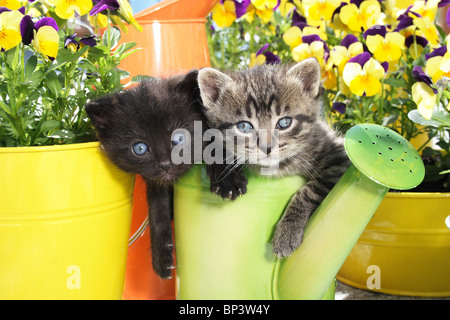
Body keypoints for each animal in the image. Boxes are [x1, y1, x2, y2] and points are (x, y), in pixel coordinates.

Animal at [86, 69, 202, 278]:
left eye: (179, 138)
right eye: (140, 148)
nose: (165, 164)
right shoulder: (156, 182)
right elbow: (157, 210)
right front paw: (161, 257)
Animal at [199, 58, 350, 258]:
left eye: (284, 122)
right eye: (244, 126)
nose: (267, 147)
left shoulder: (339, 158)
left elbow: (309, 190)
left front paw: (287, 233)